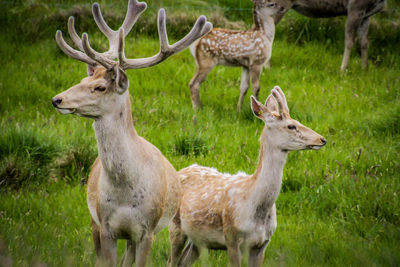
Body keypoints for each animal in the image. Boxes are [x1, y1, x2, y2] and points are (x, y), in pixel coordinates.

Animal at [51, 1, 212, 266]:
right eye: (83, 79)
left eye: (100, 87)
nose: (57, 99)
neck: (125, 194)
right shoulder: (106, 226)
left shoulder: (147, 230)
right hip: (95, 221)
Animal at [167, 87, 326, 266]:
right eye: (291, 126)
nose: (322, 139)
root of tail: (181, 170)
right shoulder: (231, 237)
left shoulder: (262, 244)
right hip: (174, 224)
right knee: (171, 261)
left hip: (198, 239)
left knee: (183, 261)